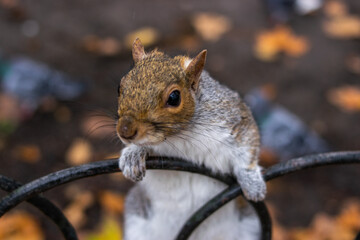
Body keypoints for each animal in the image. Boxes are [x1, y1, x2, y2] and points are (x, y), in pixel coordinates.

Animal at [116, 38, 266, 239]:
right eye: (120, 87)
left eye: (174, 97)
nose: (124, 131)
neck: (180, 135)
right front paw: (133, 155)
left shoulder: (235, 119)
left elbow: (248, 146)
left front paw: (252, 181)